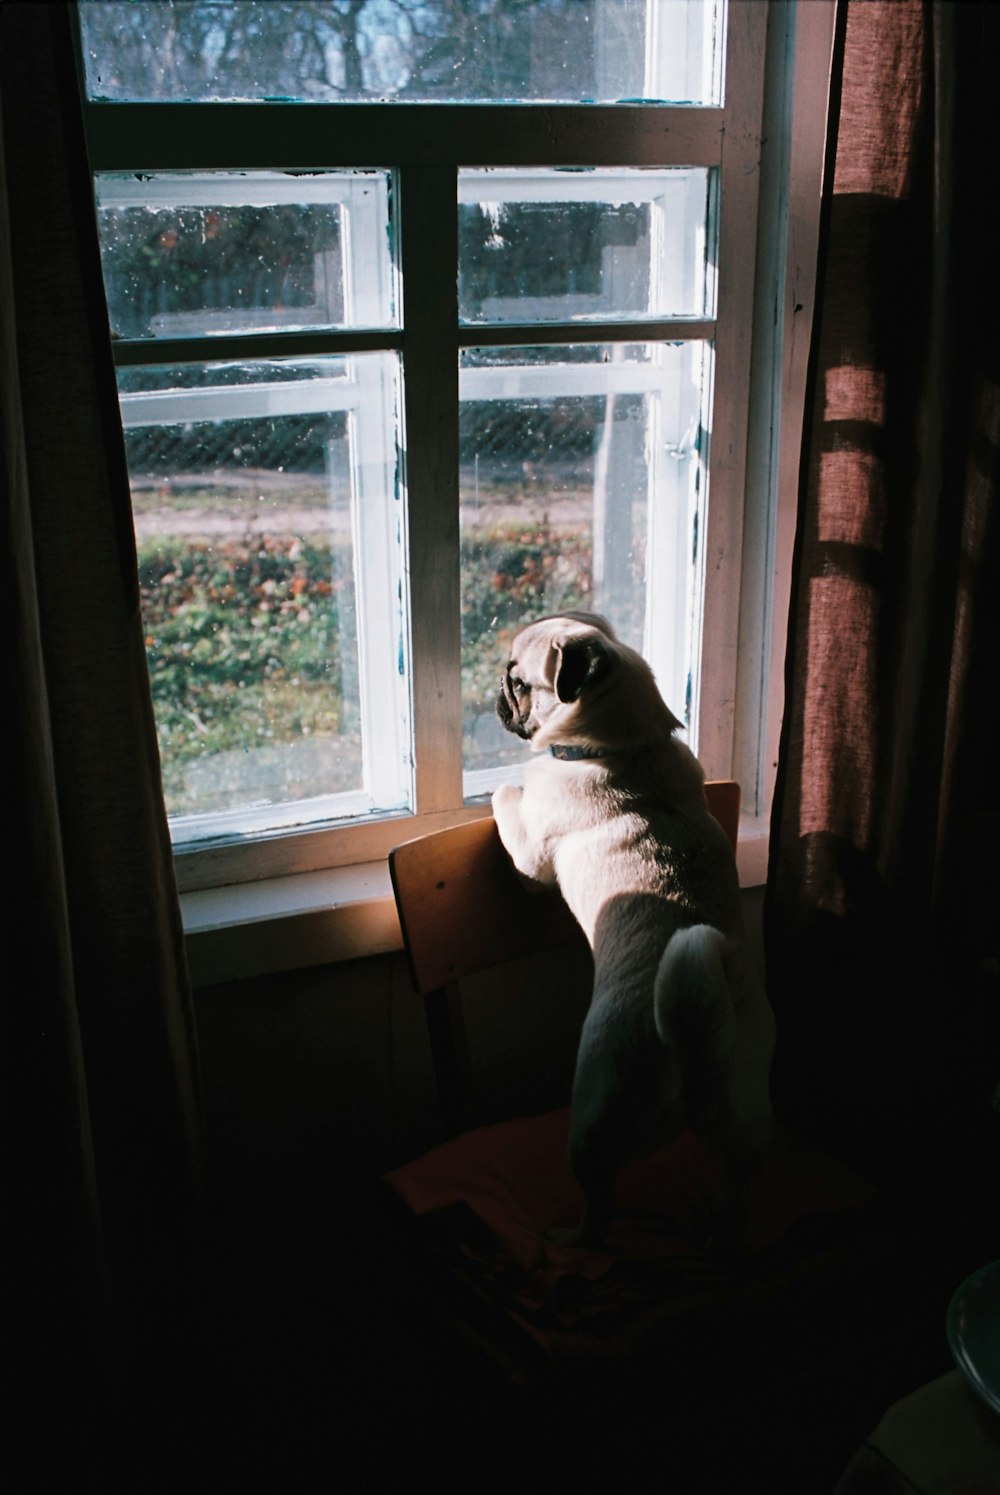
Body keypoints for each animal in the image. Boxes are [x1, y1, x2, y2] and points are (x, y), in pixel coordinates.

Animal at [490, 609, 771, 1249]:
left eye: (519, 683)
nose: (498, 692)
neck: (619, 746)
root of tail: (694, 1046)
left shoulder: (529, 853)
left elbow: (506, 796)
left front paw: (506, 785)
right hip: (742, 1110)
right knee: (741, 1170)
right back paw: (730, 1221)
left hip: (595, 1114)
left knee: (599, 1206)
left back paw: (571, 1237)